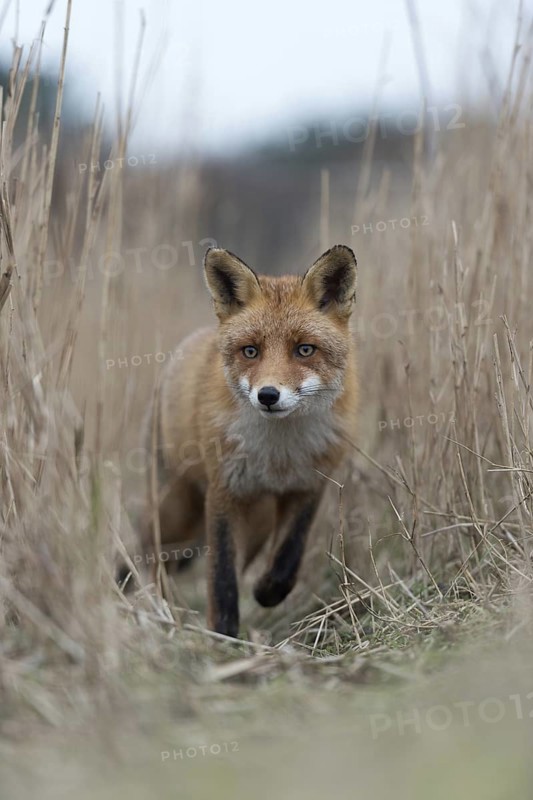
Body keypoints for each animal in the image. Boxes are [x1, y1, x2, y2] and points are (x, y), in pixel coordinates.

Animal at [139, 244, 358, 638]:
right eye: (250, 351)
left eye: (305, 350)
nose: (268, 395)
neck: (278, 454)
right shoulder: (224, 493)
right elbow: (222, 577)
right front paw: (223, 634)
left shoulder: (308, 486)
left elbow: (287, 558)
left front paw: (267, 591)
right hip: (176, 510)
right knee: (149, 551)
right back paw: (151, 608)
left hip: (257, 522)